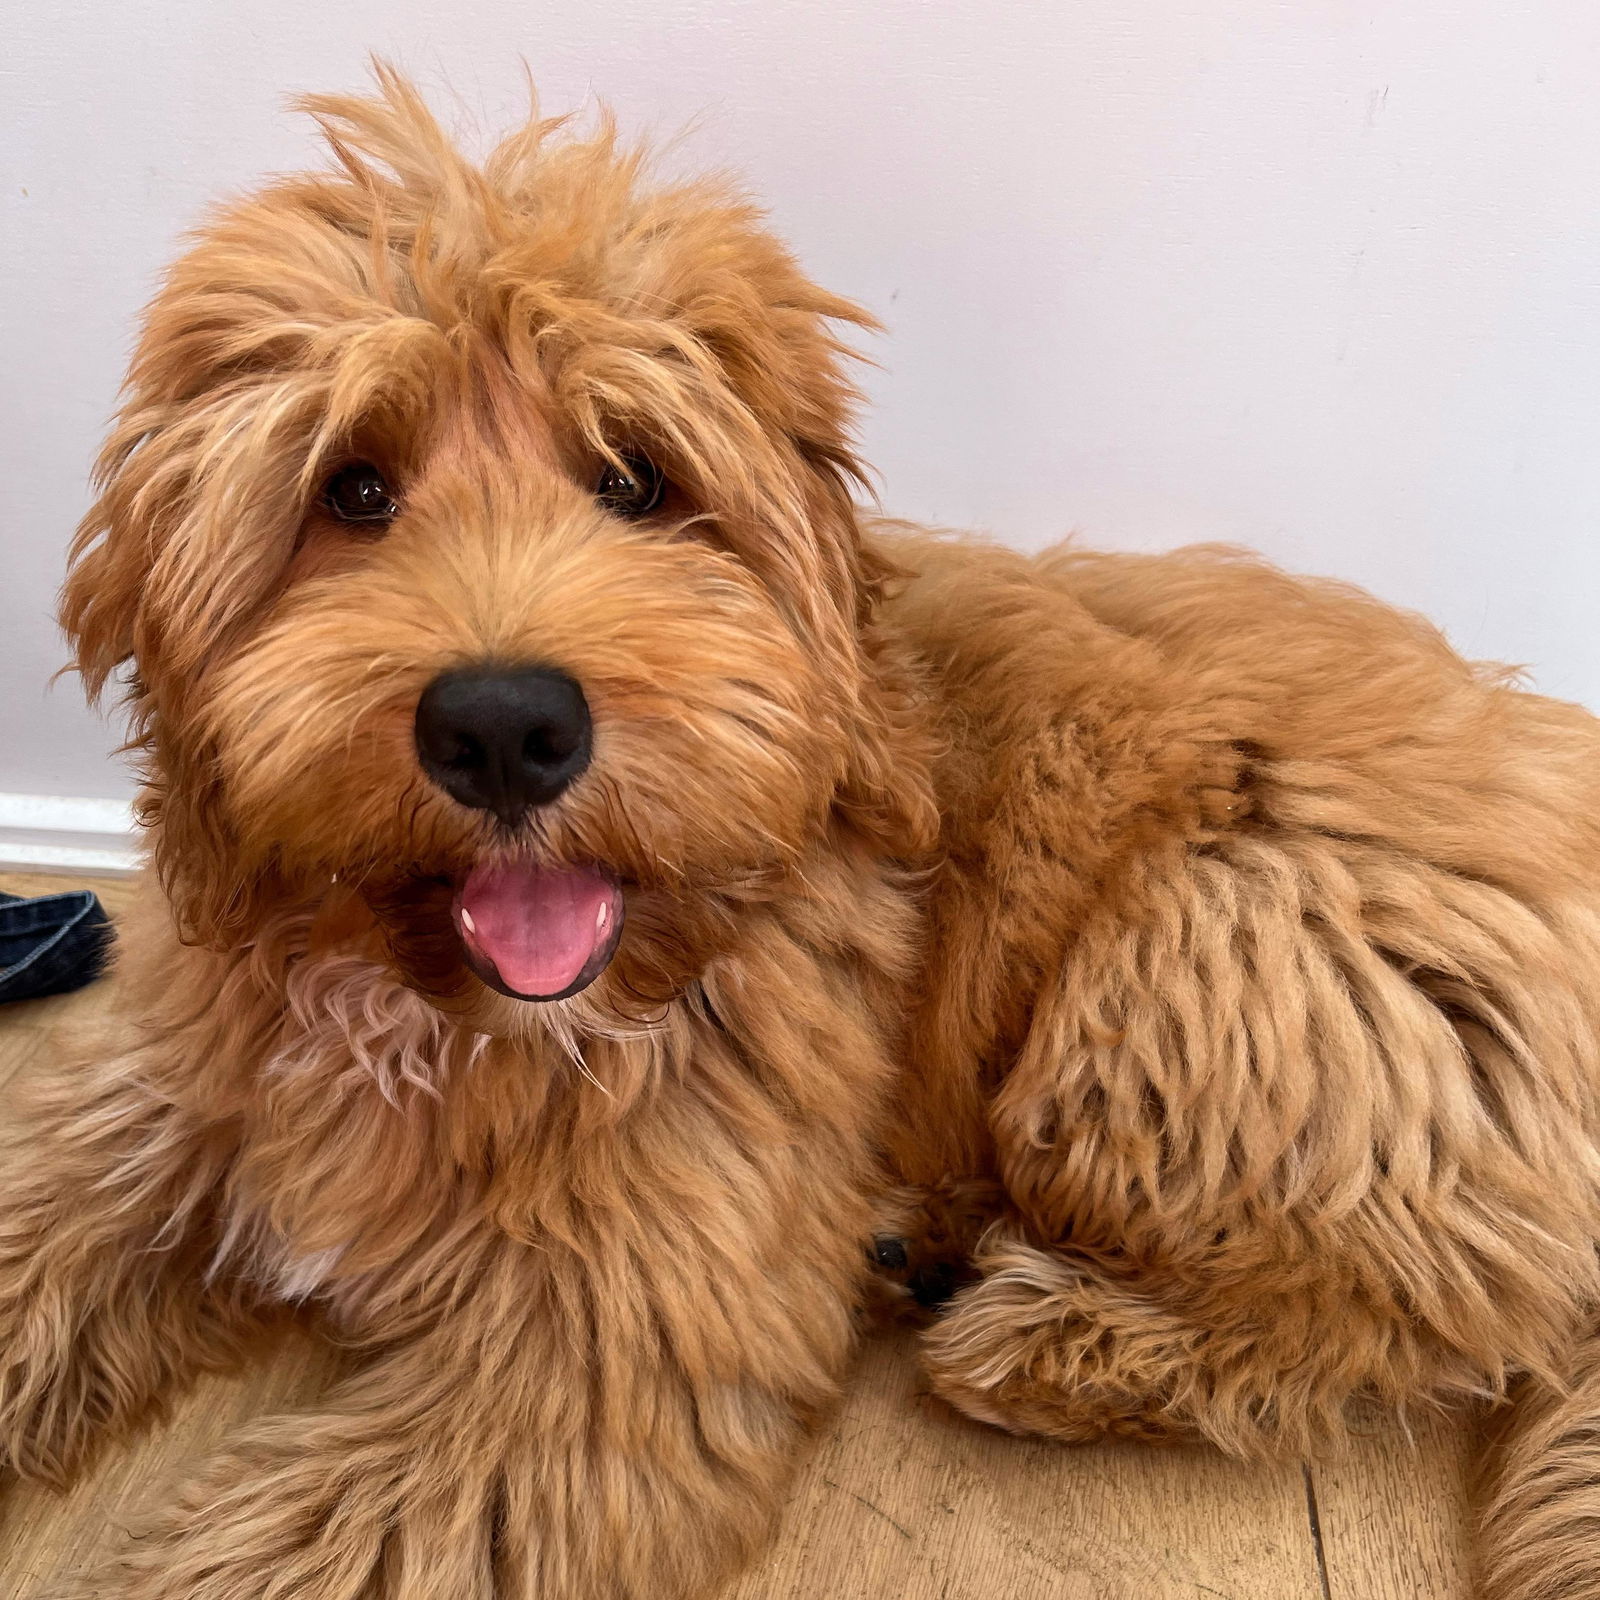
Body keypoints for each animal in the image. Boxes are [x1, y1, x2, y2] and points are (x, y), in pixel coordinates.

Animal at [8, 65, 1597, 1599]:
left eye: (635, 479)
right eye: (351, 489)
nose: (506, 726)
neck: (454, 1018)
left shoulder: (610, 1343)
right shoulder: (173, 1086)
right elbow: (51, 1205)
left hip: (1220, 956)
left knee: (1439, 1302)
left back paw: (1061, 1339)